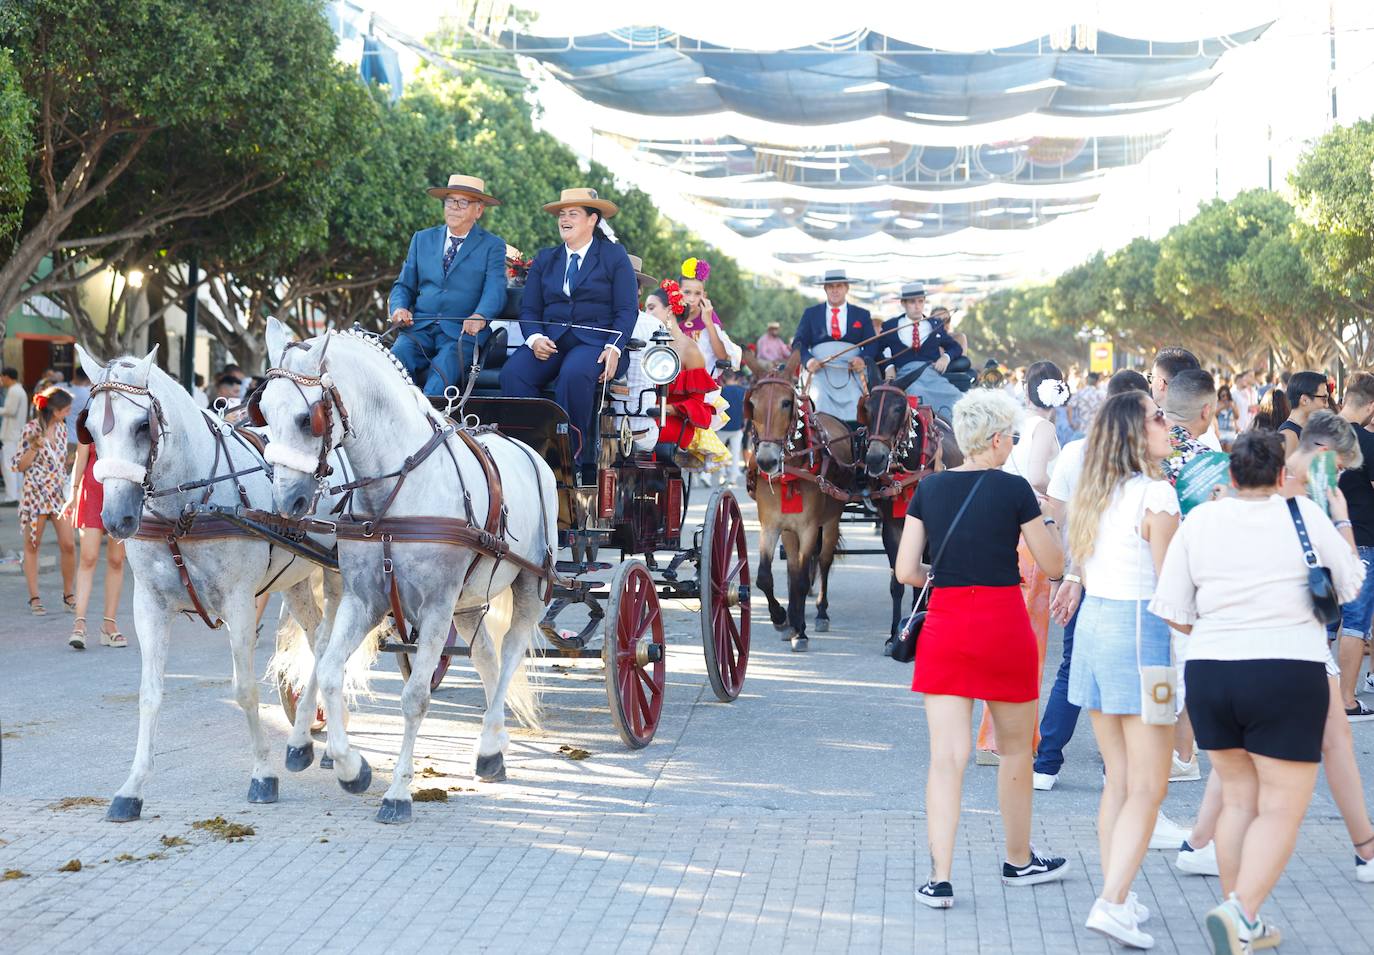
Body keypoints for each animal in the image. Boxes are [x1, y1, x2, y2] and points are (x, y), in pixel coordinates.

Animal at [75, 343, 359, 824]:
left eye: (141, 426)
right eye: (91, 428)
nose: (115, 519)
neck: (187, 506)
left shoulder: (239, 603)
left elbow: (244, 690)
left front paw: (262, 774)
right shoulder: (148, 605)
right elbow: (149, 694)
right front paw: (132, 788)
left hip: (339, 571)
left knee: (331, 645)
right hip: (296, 574)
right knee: (317, 638)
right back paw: (306, 737)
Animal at [255, 317, 555, 824]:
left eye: (306, 418)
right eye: (263, 411)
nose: (287, 502)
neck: (400, 486)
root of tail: (533, 453)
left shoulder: (434, 607)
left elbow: (415, 698)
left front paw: (397, 793)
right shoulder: (364, 599)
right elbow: (330, 670)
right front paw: (352, 769)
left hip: (530, 583)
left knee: (512, 649)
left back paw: (491, 738)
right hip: (468, 603)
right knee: (487, 656)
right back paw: (491, 749)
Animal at [747, 362, 851, 654]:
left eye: (786, 403)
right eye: (752, 403)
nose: (766, 461)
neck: (790, 475)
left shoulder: (808, 528)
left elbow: (805, 580)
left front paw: (801, 632)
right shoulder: (770, 526)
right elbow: (765, 578)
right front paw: (782, 619)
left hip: (830, 522)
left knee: (823, 562)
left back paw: (820, 614)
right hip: (788, 531)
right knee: (793, 568)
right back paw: (793, 619)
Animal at [857, 384, 967, 654]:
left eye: (898, 408)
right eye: (868, 407)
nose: (874, 458)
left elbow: (923, 573)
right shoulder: (892, 527)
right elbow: (898, 579)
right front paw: (892, 634)